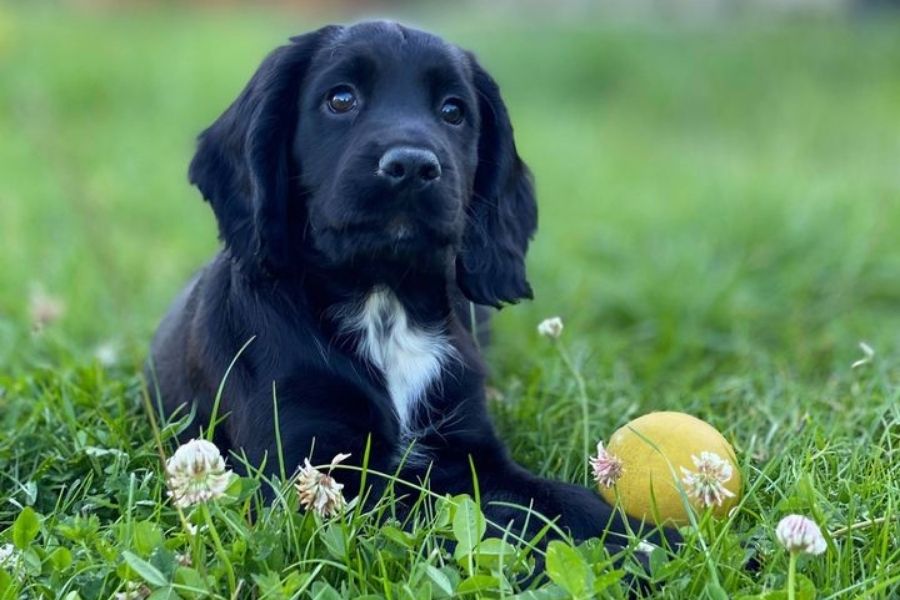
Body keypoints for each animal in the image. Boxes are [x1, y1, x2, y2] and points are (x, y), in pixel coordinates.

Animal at [149, 21, 668, 556]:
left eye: (453, 111)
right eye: (341, 98)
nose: (414, 166)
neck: (384, 302)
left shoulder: (470, 449)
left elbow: (550, 498)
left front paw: (647, 540)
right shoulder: (307, 477)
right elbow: (475, 516)